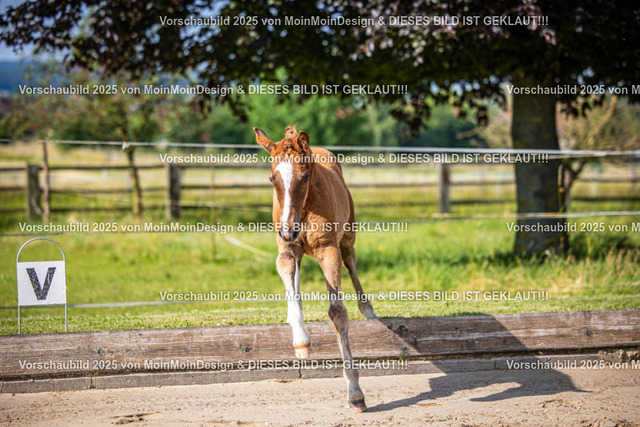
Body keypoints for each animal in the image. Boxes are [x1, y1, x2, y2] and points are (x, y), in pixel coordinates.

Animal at [253, 125, 377, 412]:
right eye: (271, 178)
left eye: (306, 175)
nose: (289, 229)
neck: (305, 211)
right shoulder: (286, 248)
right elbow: (288, 274)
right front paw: (300, 340)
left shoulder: (328, 249)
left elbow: (337, 314)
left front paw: (355, 393)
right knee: (297, 274)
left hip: (348, 232)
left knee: (350, 259)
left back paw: (368, 310)